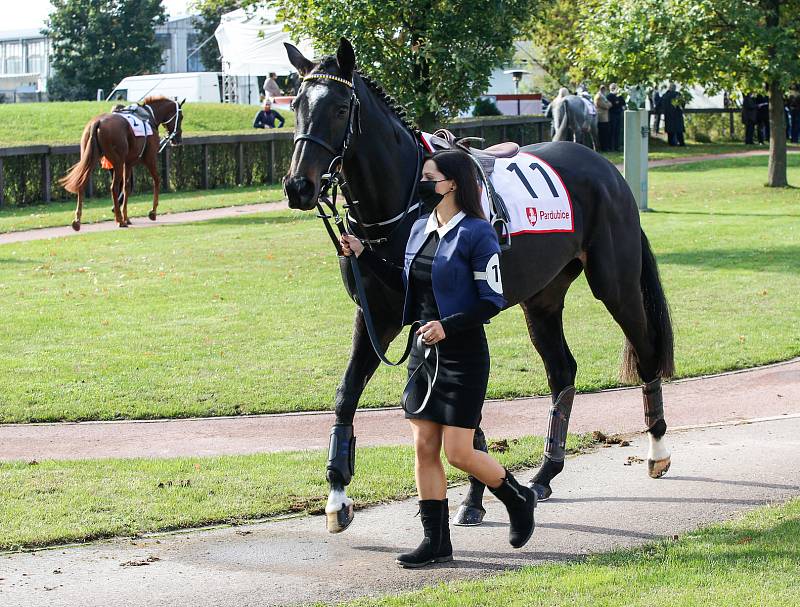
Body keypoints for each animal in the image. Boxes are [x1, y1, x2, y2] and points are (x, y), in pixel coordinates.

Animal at [60, 96, 185, 232]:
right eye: (181, 116)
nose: (178, 139)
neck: (149, 117)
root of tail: (97, 122)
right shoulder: (150, 159)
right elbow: (156, 180)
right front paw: (152, 212)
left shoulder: (128, 163)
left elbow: (126, 187)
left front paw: (126, 217)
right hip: (117, 162)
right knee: (113, 187)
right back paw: (119, 220)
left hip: (90, 158)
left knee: (81, 184)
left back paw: (78, 221)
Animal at [284, 38, 672, 536]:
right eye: (295, 104)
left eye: (337, 107)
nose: (299, 185)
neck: (409, 201)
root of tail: (608, 172)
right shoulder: (378, 315)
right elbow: (347, 393)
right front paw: (337, 493)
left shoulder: (447, 316)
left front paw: (473, 496)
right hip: (542, 299)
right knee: (562, 370)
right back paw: (545, 472)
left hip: (616, 285)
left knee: (645, 349)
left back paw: (657, 449)